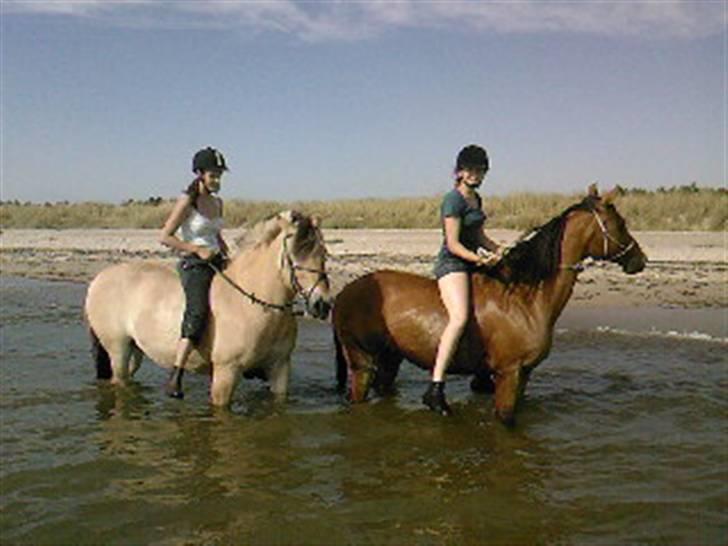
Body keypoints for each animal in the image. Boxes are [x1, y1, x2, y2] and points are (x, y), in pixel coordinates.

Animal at [86, 210, 332, 406]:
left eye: (323, 253)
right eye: (296, 253)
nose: (322, 304)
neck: (253, 305)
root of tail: (99, 278)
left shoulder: (280, 369)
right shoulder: (226, 372)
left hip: (134, 349)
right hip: (117, 348)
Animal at [332, 185, 644, 422]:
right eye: (621, 224)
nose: (640, 260)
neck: (525, 298)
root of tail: (345, 292)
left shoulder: (523, 375)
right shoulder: (509, 374)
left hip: (389, 360)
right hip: (362, 362)